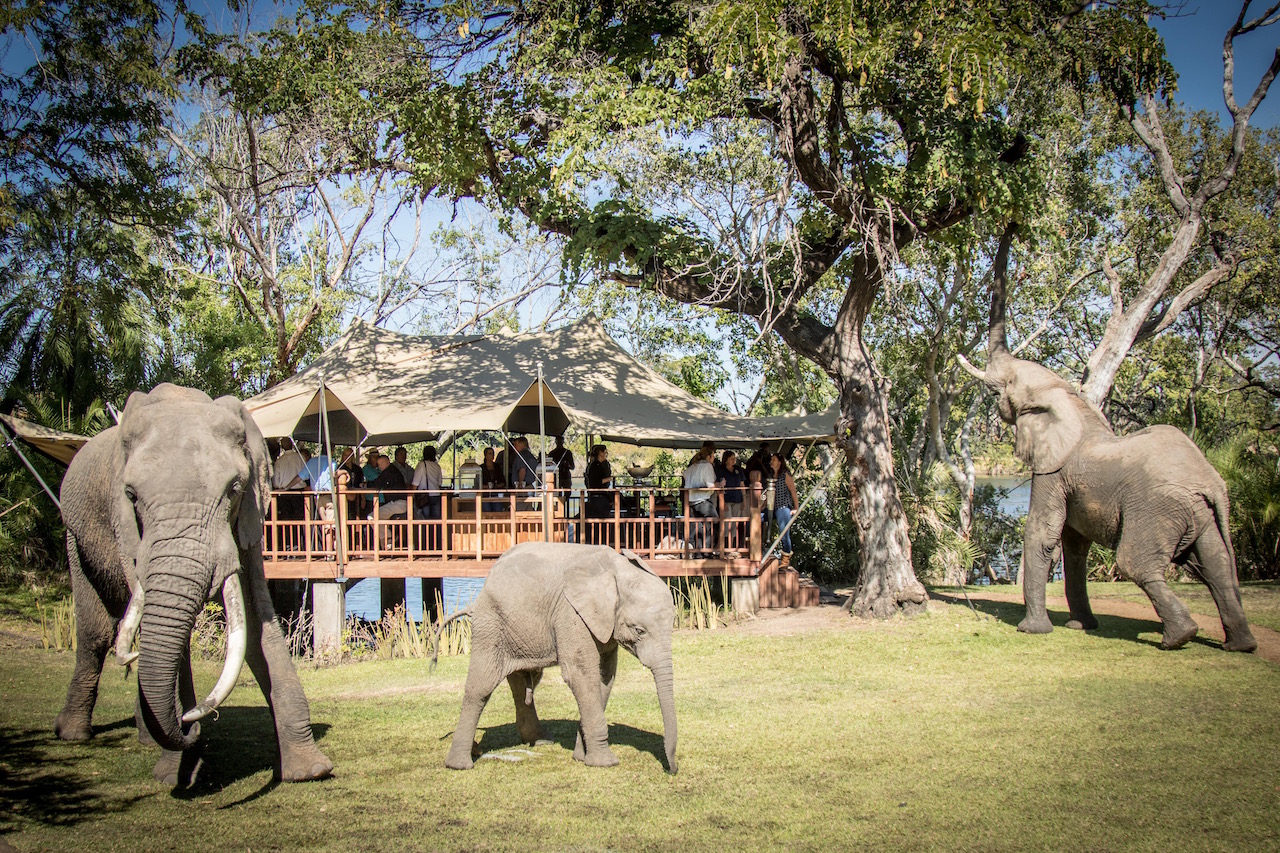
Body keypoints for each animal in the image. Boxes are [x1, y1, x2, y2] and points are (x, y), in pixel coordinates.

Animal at [55, 384, 335, 783]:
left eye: (233, 488)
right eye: (131, 496)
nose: (193, 722)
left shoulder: (248, 514)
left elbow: (255, 617)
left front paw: (309, 770)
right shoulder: (126, 527)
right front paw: (175, 773)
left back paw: (147, 735)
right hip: (75, 535)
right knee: (96, 632)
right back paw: (76, 734)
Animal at [437, 545, 680, 768]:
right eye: (639, 630)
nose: (673, 768)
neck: (614, 570)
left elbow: (604, 679)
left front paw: (581, 757)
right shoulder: (570, 613)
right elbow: (581, 675)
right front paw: (605, 763)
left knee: (523, 683)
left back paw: (540, 741)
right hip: (491, 621)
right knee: (482, 686)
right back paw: (460, 763)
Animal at [957, 225, 1254, 650]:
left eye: (1002, 390)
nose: (1011, 227)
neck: (1070, 399)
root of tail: (1210, 484)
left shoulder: (1054, 472)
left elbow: (1044, 534)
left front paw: (1032, 630)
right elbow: (1073, 544)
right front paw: (1081, 626)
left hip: (1157, 509)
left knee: (1136, 563)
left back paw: (1178, 637)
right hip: (1202, 514)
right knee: (1217, 567)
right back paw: (1239, 645)